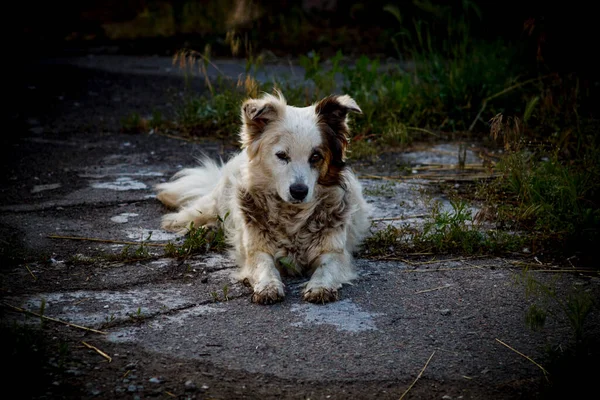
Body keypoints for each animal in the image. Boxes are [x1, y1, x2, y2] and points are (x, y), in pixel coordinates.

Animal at [155, 91, 370, 304]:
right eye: (281, 155)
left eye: (316, 156)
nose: (299, 191)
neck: (292, 216)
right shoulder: (256, 249)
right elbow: (264, 266)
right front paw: (268, 286)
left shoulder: (334, 251)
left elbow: (327, 267)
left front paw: (320, 287)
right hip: (215, 201)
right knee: (194, 214)